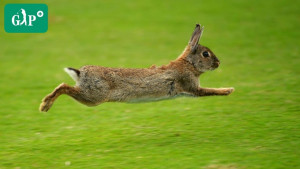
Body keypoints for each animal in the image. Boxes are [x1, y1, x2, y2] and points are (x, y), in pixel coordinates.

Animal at [39, 23, 234, 112]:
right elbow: (209, 91)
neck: (188, 64)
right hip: (94, 96)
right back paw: (45, 106)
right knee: (65, 87)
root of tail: (81, 73)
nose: (218, 63)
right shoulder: (191, 86)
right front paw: (229, 90)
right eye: (206, 54)